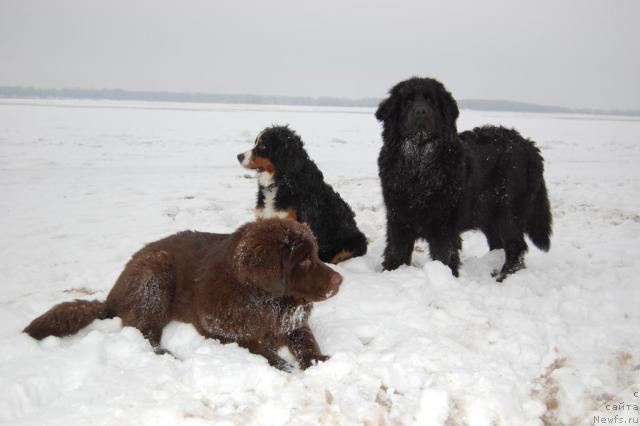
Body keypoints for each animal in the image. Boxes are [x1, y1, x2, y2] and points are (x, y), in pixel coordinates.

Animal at [23, 220, 344, 370]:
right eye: (304, 260)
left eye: (316, 254)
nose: (340, 280)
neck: (263, 300)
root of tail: (111, 297)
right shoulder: (222, 332)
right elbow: (259, 347)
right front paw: (282, 364)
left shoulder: (294, 325)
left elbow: (306, 342)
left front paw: (317, 361)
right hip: (156, 277)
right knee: (144, 332)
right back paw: (166, 354)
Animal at [378, 78, 552, 282]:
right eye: (407, 102)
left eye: (431, 101)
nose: (421, 111)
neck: (420, 165)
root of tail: (528, 145)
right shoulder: (398, 218)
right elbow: (396, 252)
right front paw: (392, 273)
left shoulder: (444, 223)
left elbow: (443, 255)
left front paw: (446, 276)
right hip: (490, 215)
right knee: (499, 243)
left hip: (509, 210)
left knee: (515, 245)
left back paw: (503, 276)